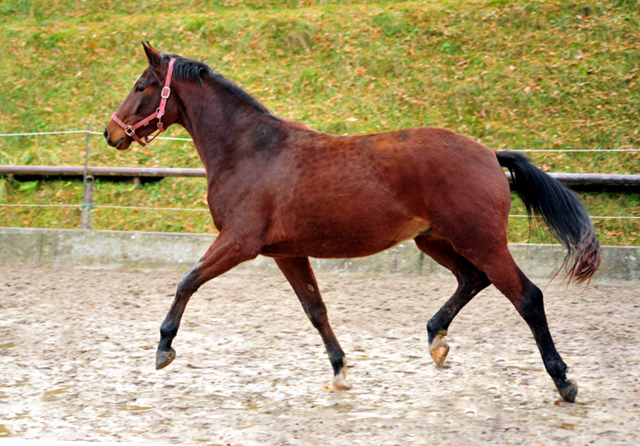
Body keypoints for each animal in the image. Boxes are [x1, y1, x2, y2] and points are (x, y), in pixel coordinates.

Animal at [104, 42, 600, 404]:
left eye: (142, 86)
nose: (111, 133)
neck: (250, 151)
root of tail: (489, 155)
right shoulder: (287, 252)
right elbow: (315, 310)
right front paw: (340, 370)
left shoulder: (238, 242)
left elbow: (187, 281)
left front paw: (164, 348)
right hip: (435, 241)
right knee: (471, 279)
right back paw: (436, 340)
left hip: (481, 240)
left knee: (527, 297)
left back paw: (564, 381)